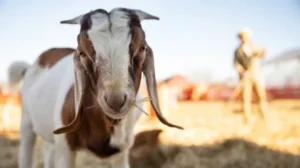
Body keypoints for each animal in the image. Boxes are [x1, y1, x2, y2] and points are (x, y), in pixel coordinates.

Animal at [7, 7, 183, 168]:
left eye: (142, 48)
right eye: (82, 53)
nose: (115, 101)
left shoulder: (122, 151)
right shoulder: (65, 147)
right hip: (26, 123)